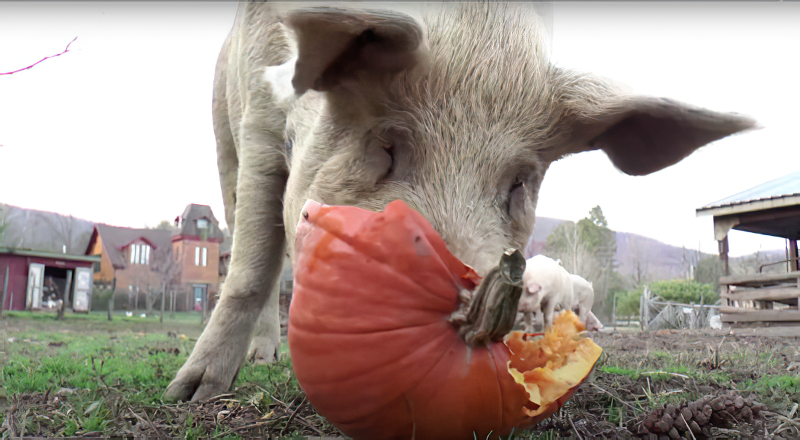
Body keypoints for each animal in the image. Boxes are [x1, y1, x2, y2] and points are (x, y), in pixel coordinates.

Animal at [164, 0, 756, 402]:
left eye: (519, 182)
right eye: (386, 147)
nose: (471, 304)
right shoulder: (260, 124)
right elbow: (249, 269)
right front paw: (190, 394)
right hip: (223, 134)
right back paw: (253, 364)